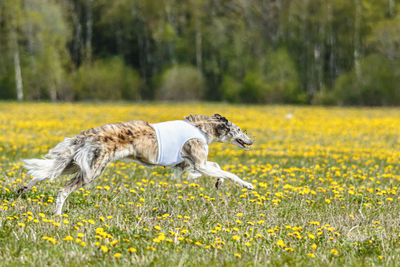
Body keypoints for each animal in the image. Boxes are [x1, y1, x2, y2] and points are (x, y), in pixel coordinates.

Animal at [18, 114, 253, 215]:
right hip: (92, 170)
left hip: (75, 164)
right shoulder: (198, 163)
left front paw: (219, 182)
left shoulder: (189, 164)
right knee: (62, 190)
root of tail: (86, 134)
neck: (202, 127)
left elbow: (217, 167)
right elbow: (229, 172)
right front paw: (248, 185)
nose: (251, 141)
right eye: (240, 130)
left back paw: (23, 188)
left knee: (44, 173)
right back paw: (57, 215)